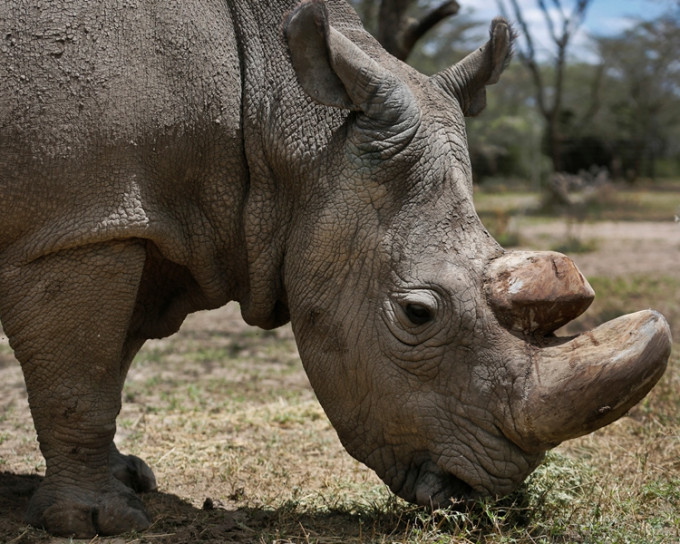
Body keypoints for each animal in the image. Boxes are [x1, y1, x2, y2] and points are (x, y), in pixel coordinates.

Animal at [0, 0, 668, 536]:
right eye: (417, 314)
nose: (484, 497)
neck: (275, 119)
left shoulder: (133, 221)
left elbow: (108, 362)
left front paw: (130, 478)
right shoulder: (79, 224)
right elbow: (81, 379)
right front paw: (96, 521)